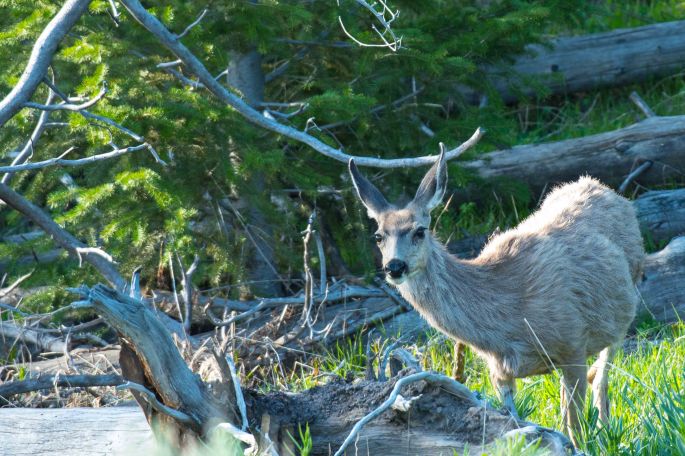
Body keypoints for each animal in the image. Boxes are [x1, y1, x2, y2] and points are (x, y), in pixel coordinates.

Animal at [348, 148, 644, 444]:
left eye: (419, 231)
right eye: (378, 236)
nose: (394, 266)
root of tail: (602, 188)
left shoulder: (573, 345)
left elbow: (576, 429)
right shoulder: (499, 373)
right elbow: (513, 422)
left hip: (626, 306)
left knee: (601, 376)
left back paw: (607, 428)